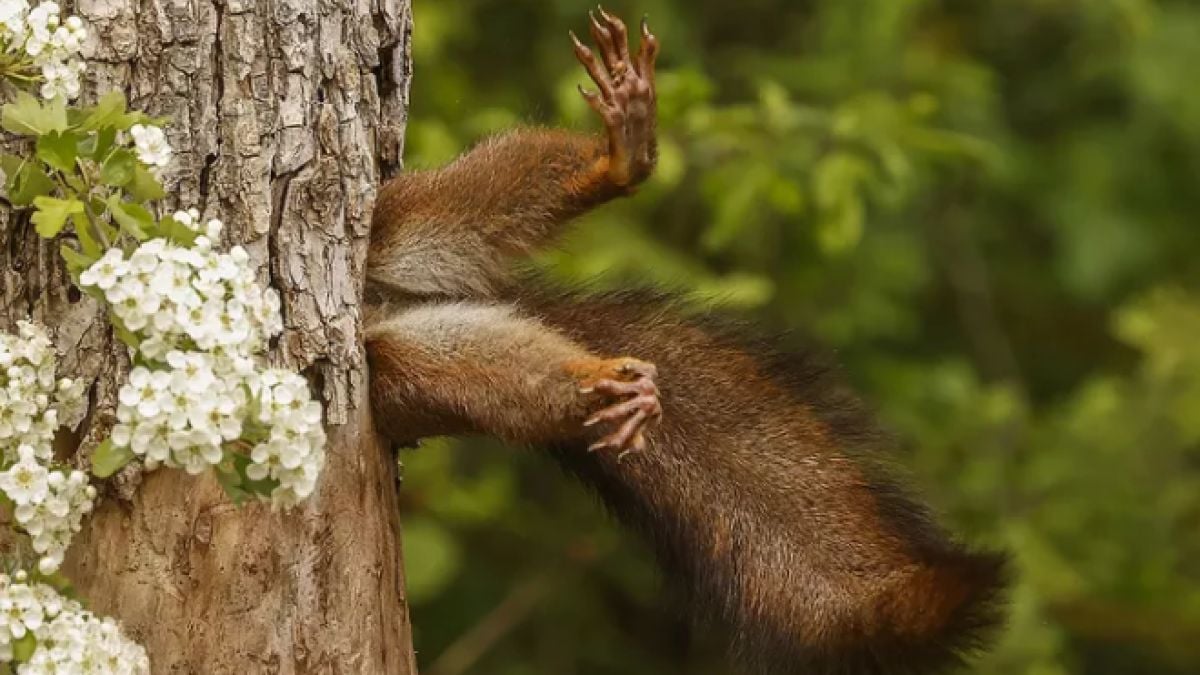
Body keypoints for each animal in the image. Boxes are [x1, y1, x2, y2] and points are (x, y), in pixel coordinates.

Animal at [360, 7, 1008, 667]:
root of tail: (386, 304)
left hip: (397, 220)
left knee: (472, 201)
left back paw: (620, 160)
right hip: (400, 369)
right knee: (484, 373)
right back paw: (602, 386)